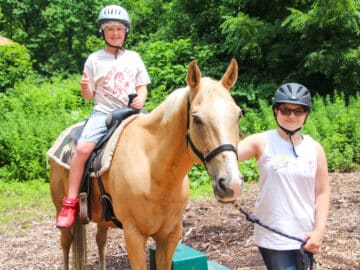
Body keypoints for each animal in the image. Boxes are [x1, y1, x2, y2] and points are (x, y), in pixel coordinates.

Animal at [49, 59, 243, 270]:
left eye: (238, 115)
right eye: (196, 119)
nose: (231, 184)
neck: (154, 170)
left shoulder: (170, 236)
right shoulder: (133, 235)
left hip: (101, 217)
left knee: (101, 240)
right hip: (61, 210)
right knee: (66, 244)